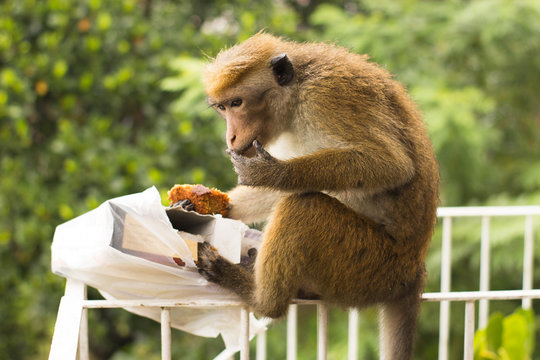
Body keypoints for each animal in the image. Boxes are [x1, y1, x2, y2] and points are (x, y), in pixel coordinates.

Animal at [196, 32, 440, 358]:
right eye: (222, 108)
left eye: (237, 103)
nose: (230, 137)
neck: (296, 92)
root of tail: (414, 270)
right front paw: (208, 205)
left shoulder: (327, 96)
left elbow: (391, 164)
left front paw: (274, 174)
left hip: (370, 265)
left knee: (305, 207)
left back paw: (260, 297)